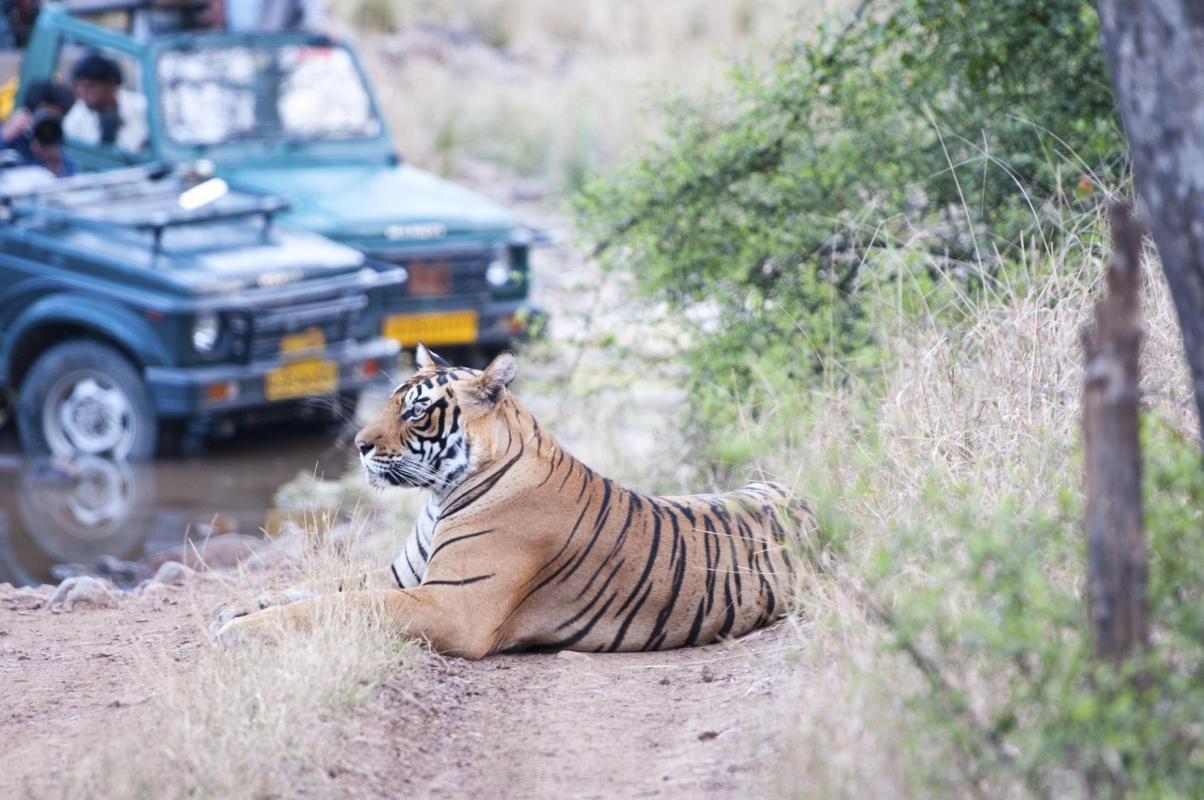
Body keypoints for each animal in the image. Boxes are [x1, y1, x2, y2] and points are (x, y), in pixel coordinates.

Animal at [219, 339, 818, 660]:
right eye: (391, 402)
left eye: (415, 412)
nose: (360, 446)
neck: (439, 496)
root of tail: (807, 497)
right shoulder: (403, 577)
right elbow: (316, 588)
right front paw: (238, 606)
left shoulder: (449, 605)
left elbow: (339, 605)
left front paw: (237, 631)